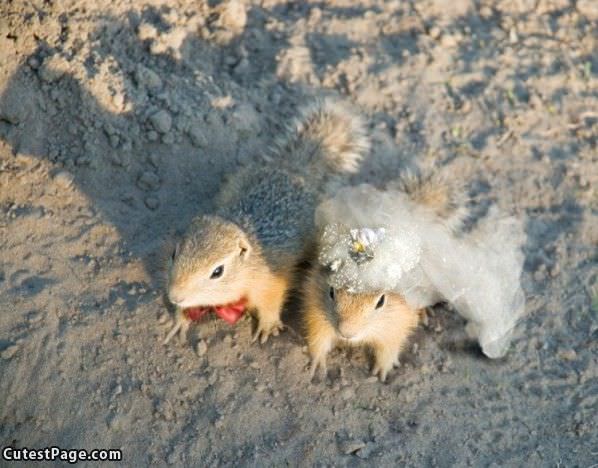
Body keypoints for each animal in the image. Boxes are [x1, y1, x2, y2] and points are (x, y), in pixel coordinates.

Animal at [164, 98, 370, 346]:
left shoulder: (269, 282)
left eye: (217, 272)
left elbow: (271, 303)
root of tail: (293, 169)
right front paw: (180, 318)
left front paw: (268, 326)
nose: (175, 296)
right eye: (174, 253)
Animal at [304, 170, 468, 382]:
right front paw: (317, 363)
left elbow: (389, 348)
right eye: (331, 292)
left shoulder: (396, 324)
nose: (346, 333)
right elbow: (318, 339)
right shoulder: (316, 312)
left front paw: (383, 370)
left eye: (381, 302)